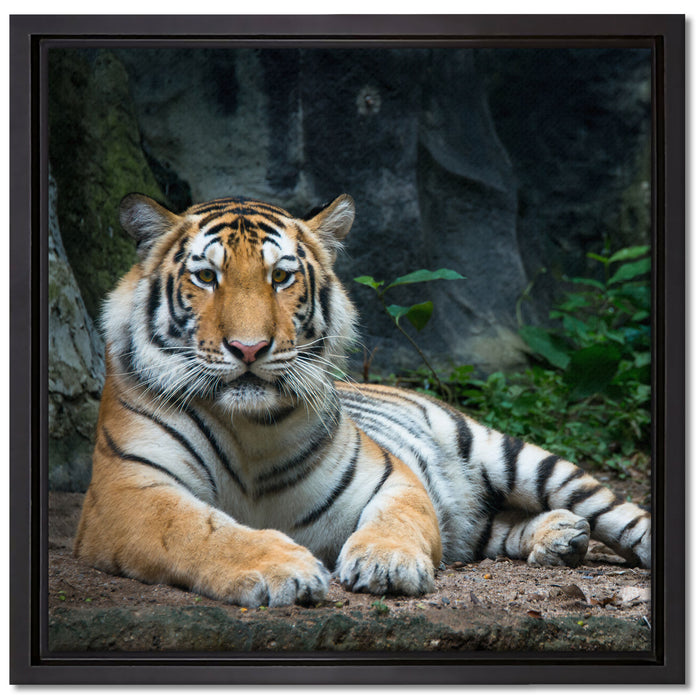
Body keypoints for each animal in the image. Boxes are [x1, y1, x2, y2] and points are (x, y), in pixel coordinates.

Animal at [73, 193, 652, 607]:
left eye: (280, 276)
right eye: (206, 276)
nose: (249, 348)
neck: (250, 428)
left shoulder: (390, 475)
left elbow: (398, 520)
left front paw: (386, 565)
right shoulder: (128, 492)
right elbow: (200, 531)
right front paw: (282, 568)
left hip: (515, 457)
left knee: (619, 514)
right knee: (490, 526)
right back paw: (560, 535)